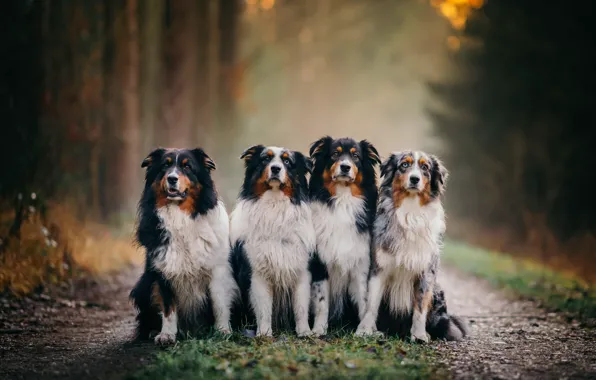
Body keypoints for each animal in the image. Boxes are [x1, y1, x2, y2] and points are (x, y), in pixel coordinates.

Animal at [129, 148, 236, 344]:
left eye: (187, 167)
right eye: (165, 165)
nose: (172, 178)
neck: (180, 216)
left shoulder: (218, 270)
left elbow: (219, 303)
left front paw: (223, 330)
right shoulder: (163, 271)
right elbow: (168, 307)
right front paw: (167, 335)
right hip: (144, 284)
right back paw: (152, 331)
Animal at [229, 145, 316, 336]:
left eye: (287, 161)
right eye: (265, 159)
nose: (276, 168)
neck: (274, 205)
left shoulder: (302, 270)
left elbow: (301, 306)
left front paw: (304, 332)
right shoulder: (257, 273)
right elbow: (264, 308)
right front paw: (264, 334)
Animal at [308, 137, 382, 336]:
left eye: (356, 156)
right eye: (335, 154)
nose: (345, 167)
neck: (343, 198)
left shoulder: (360, 263)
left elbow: (364, 300)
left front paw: (366, 331)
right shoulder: (320, 262)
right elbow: (322, 301)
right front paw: (319, 329)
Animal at [356, 151, 468, 342]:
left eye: (425, 167)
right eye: (404, 165)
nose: (414, 179)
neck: (410, 211)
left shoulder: (426, 271)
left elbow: (420, 307)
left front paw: (419, 335)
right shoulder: (379, 268)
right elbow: (371, 304)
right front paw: (364, 330)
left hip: (437, 293)